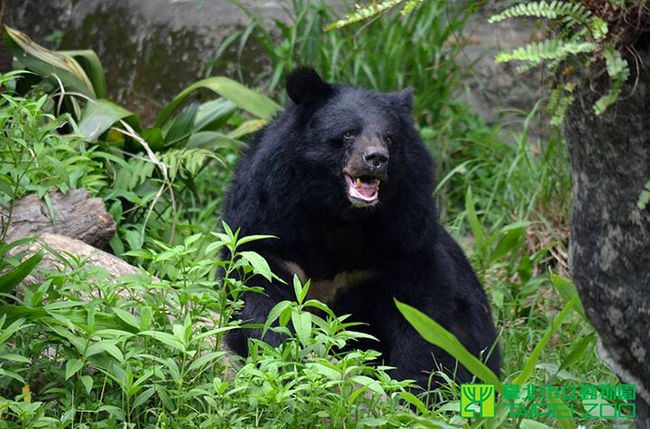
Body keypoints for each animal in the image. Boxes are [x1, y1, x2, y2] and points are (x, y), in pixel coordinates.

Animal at [220, 68, 498, 386]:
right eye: (348, 133)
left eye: (389, 138)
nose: (376, 158)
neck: (340, 214)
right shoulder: (267, 221)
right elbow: (258, 295)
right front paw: (283, 358)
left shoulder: (404, 237)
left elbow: (420, 313)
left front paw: (410, 384)